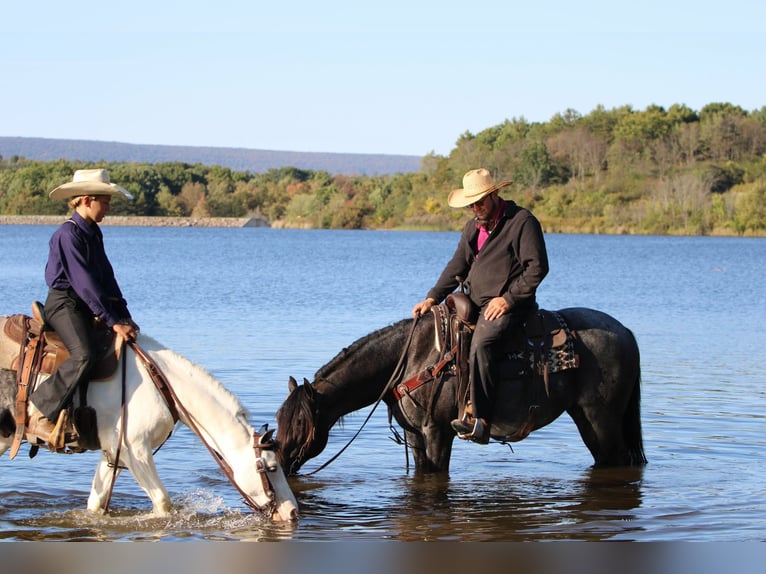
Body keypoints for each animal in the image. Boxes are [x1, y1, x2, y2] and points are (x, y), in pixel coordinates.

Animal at [0, 315, 298, 521]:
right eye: (272, 468)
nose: (294, 512)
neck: (160, 382)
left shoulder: (114, 454)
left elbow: (95, 504)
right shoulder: (137, 451)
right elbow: (163, 503)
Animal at [276, 306, 647, 475]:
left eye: (300, 423)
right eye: (278, 418)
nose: (277, 460)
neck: (412, 358)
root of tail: (626, 331)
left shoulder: (438, 431)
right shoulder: (414, 434)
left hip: (600, 420)